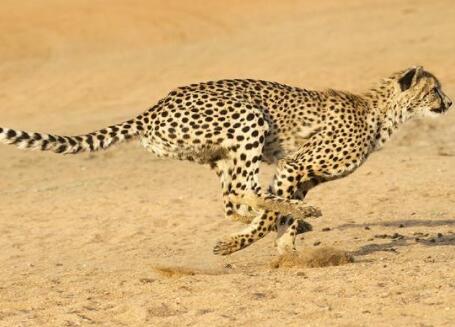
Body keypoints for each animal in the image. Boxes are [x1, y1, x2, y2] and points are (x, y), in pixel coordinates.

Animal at [1, 66, 452, 256]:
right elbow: (272, 213)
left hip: (220, 153)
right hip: (249, 119)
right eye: (434, 89)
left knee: (233, 199)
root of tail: (154, 107)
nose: (448, 103)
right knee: (241, 192)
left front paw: (286, 246)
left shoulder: (300, 176)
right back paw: (294, 217)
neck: (381, 113)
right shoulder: (292, 167)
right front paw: (244, 244)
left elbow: (276, 215)